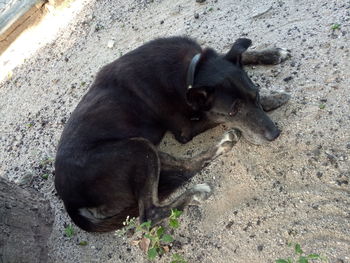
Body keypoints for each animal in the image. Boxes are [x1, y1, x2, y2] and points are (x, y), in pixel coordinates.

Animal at [54, 36, 290, 232]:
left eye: (255, 94)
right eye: (233, 112)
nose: (274, 133)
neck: (191, 70)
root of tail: (69, 202)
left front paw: (272, 54)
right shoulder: (185, 129)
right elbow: (213, 117)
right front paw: (272, 97)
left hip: (144, 147)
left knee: (184, 166)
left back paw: (222, 145)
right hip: (135, 148)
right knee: (150, 213)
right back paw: (197, 189)